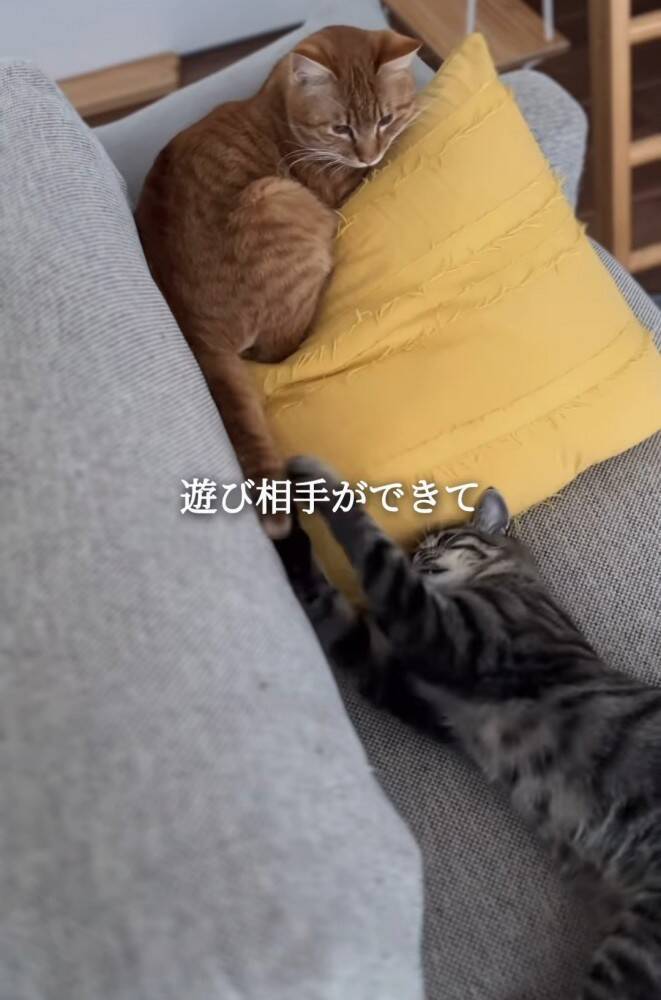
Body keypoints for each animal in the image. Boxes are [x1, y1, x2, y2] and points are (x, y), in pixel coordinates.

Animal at [135, 26, 420, 538]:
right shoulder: (337, 186)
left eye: (385, 118)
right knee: (282, 345)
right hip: (278, 198)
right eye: (341, 129)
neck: (278, 105)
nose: (370, 152)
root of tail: (194, 328)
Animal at [277, 455, 661, 1000]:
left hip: (637, 951)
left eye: (437, 543)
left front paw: (316, 478)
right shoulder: (411, 688)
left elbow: (370, 546)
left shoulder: (452, 638)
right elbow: (332, 607)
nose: (417, 558)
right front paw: (286, 533)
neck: (502, 578)